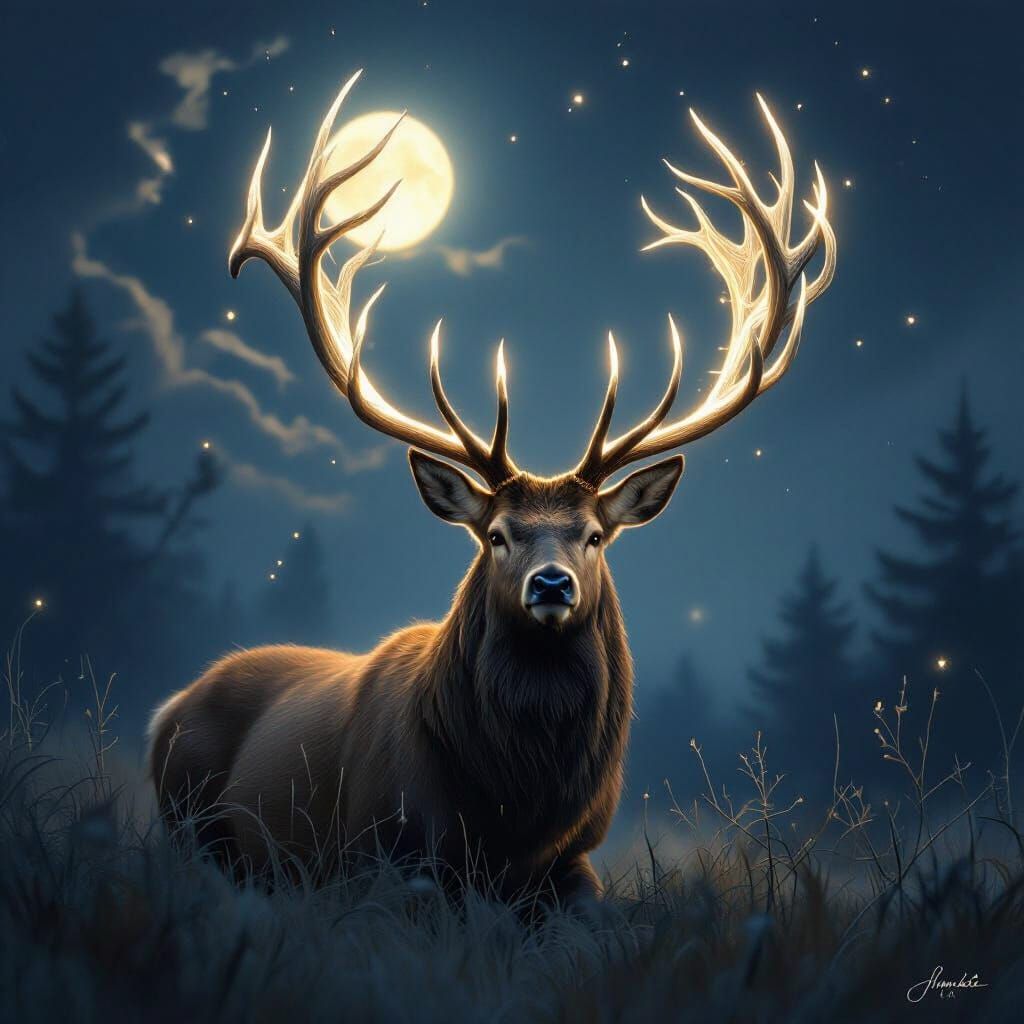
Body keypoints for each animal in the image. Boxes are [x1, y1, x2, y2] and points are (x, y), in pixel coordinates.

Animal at [148, 71, 835, 904]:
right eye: (497, 535)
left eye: (595, 535)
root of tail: (164, 711)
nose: (552, 583)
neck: (513, 814)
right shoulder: (383, 852)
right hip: (193, 830)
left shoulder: (575, 860)